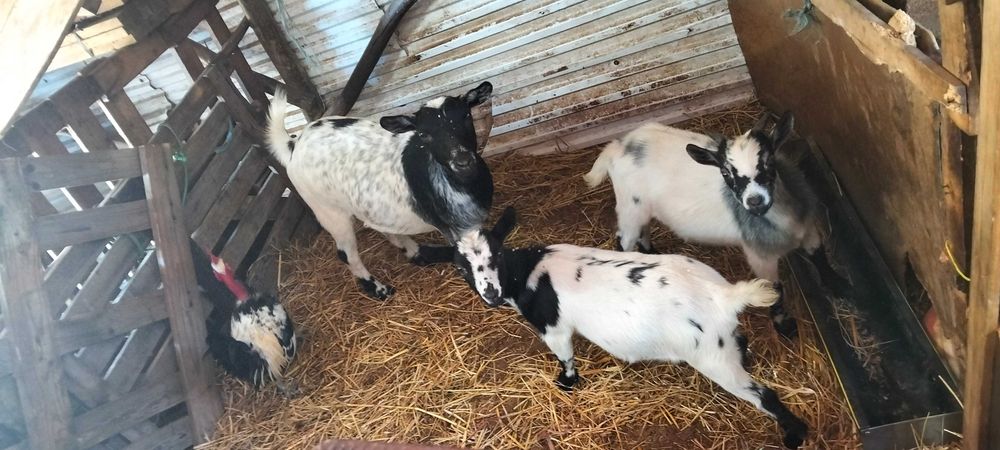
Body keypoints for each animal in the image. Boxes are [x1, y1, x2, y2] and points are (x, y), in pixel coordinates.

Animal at [267, 82, 494, 300]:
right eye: (423, 134)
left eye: (466, 116)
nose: (462, 161)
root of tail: (294, 143)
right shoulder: (456, 230)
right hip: (328, 210)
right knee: (346, 253)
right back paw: (378, 289)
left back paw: (419, 254)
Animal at [453, 208, 809, 449]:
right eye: (462, 268)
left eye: (497, 254)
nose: (491, 294)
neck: (528, 270)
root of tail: (722, 295)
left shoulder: (553, 327)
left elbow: (565, 356)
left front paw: (566, 384)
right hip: (722, 341)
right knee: (740, 340)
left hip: (712, 358)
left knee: (764, 395)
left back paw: (795, 434)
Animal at [583, 112, 821, 338]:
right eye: (725, 172)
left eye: (769, 161)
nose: (755, 201)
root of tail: (618, 145)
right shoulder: (761, 256)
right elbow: (776, 291)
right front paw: (785, 327)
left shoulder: (811, 233)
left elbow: (820, 262)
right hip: (629, 206)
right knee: (624, 240)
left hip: (642, 207)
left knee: (644, 230)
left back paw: (653, 254)